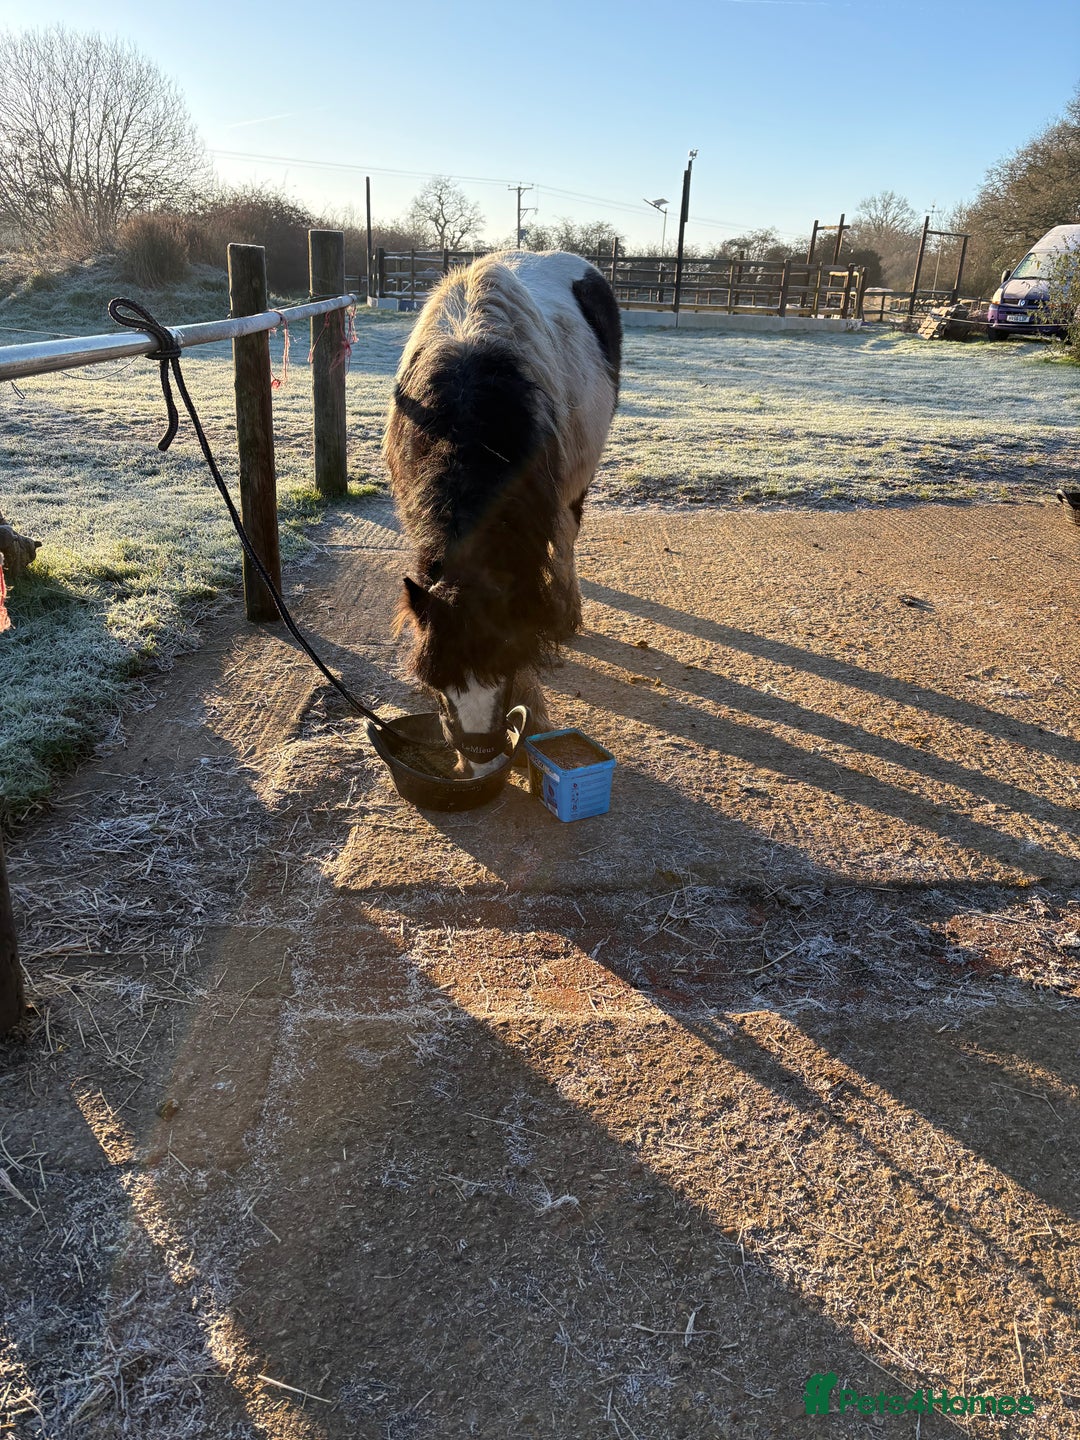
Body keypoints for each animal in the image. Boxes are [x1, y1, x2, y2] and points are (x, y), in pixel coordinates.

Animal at [383, 249, 621, 774]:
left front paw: (535, 708)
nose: (482, 767)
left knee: (567, 540)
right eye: (439, 688)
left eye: (505, 672)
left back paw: (567, 611)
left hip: (576, 482)